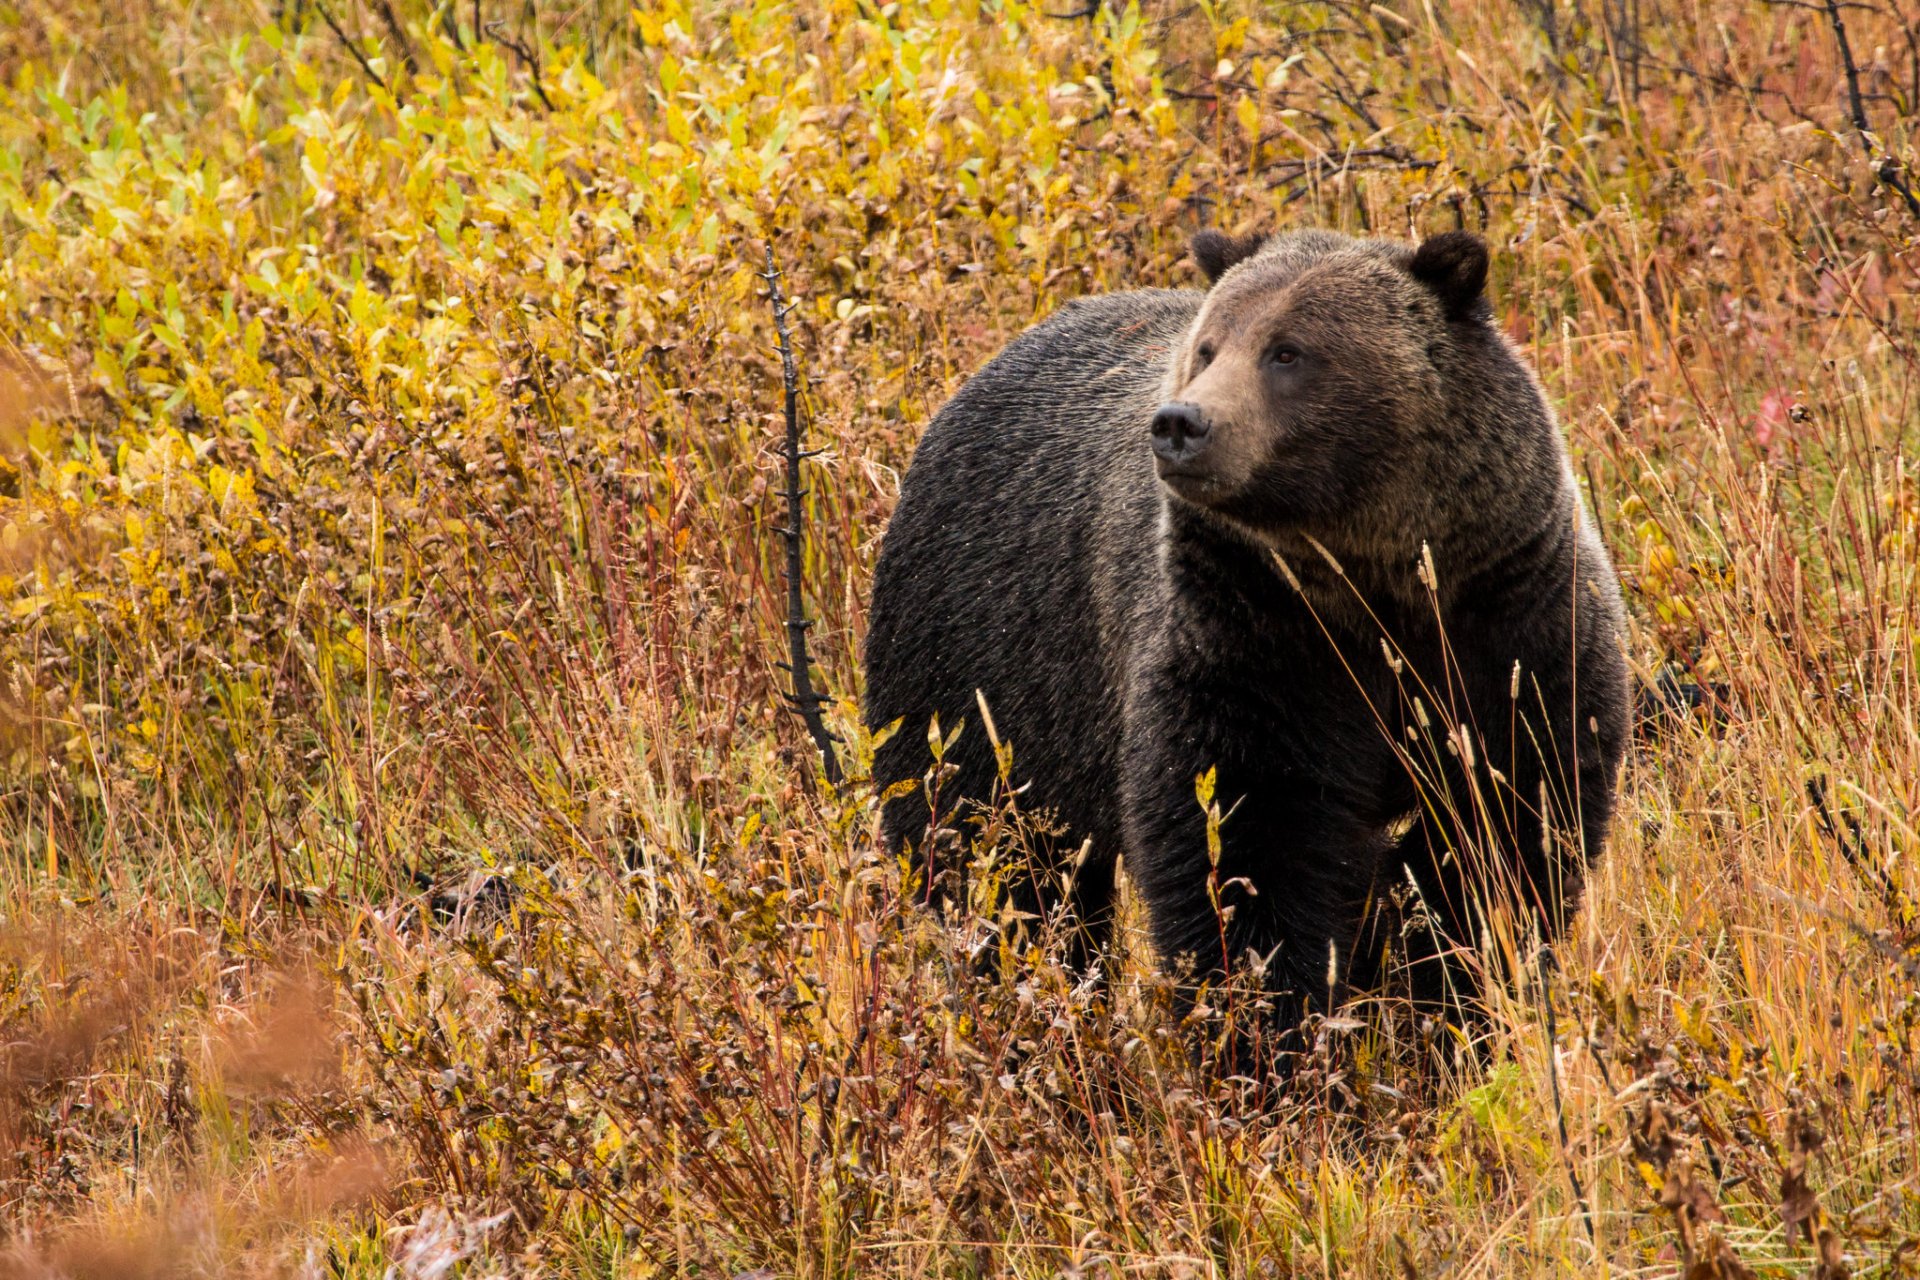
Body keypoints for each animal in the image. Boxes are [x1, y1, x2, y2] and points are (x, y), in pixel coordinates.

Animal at [864, 225, 1628, 1036]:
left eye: (1287, 351)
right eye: (1208, 347)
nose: (1180, 424)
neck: (1376, 588)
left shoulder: (1510, 622)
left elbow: (1507, 827)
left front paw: (1443, 994)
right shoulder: (1250, 639)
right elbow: (1246, 841)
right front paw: (1268, 1020)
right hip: (984, 667)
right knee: (1000, 862)